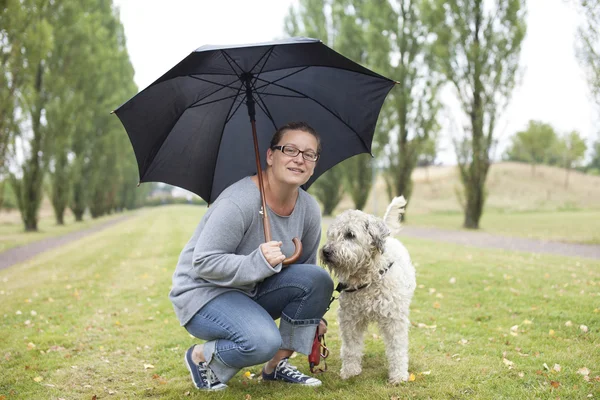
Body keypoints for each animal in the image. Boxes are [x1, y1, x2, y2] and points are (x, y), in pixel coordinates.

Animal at [322, 197, 414, 384]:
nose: (326, 251)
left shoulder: (394, 319)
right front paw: (350, 371)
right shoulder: (350, 319)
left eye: (350, 234)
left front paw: (398, 376)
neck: (368, 278)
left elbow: (397, 349)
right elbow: (350, 348)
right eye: (332, 234)